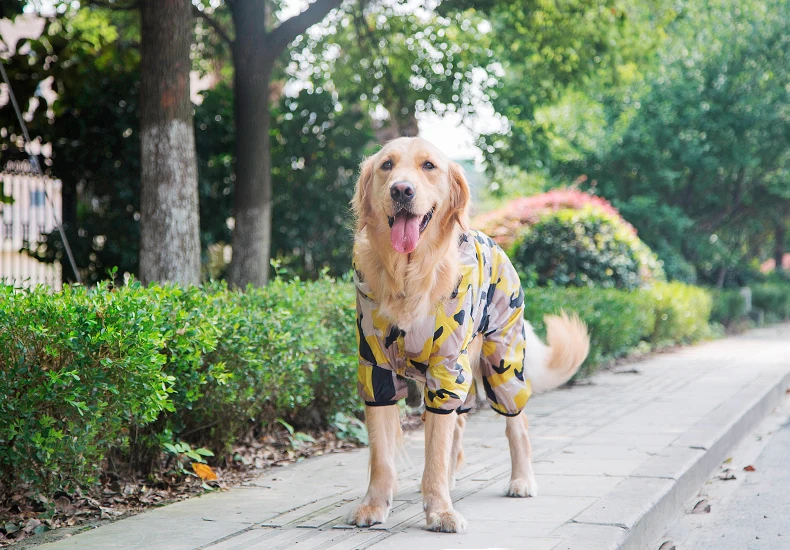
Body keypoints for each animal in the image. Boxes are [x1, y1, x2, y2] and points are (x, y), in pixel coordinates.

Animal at [350, 137, 592, 536]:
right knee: (458, 424)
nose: (402, 190)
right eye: (387, 165)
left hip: (501, 363)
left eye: (429, 166)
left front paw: (439, 510)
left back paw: (521, 480)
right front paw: (374, 505)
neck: (409, 274)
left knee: (516, 424)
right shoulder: (376, 370)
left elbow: (435, 452)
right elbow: (383, 455)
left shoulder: (447, 368)